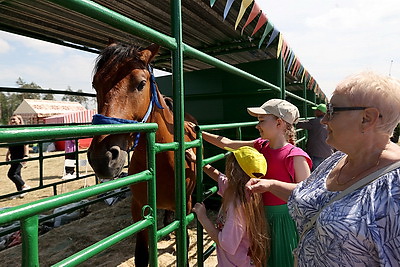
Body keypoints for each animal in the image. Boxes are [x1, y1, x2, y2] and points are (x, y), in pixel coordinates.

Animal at [89, 42, 198, 267]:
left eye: (141, 83)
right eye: (95, 85)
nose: (102, 158)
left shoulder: (185, 205)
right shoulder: (139, 210)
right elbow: (141, 255)